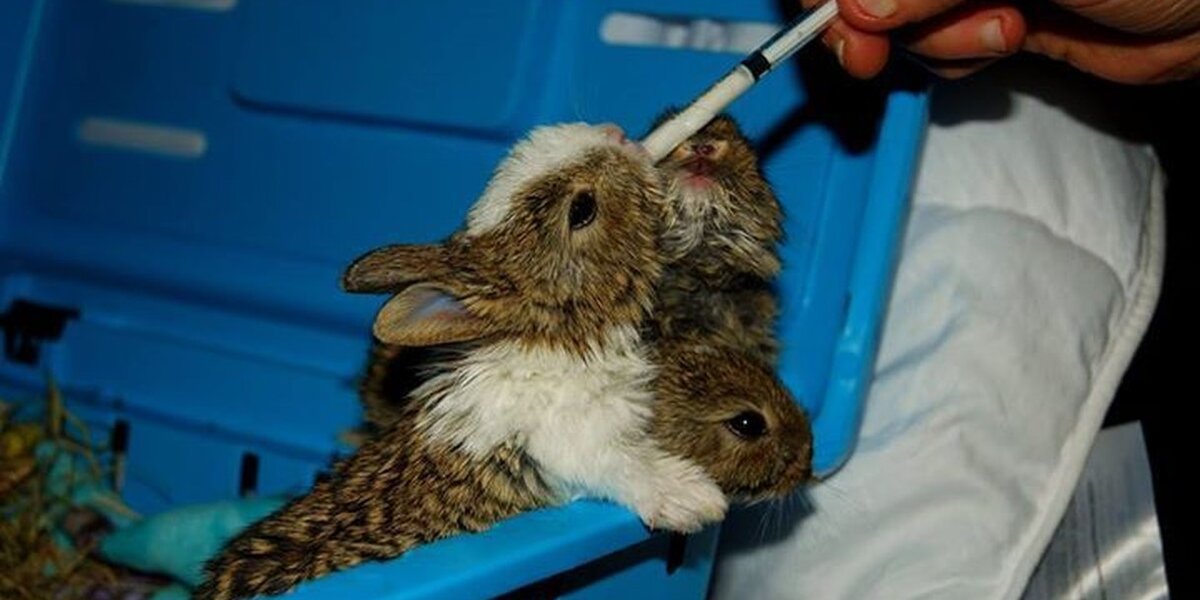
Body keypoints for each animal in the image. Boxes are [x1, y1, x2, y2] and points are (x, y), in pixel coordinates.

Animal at [196, 123, 728, 600]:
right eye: (582, 209)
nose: (617, 133)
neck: (553, 340)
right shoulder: (575, 444)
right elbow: (623, 464)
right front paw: (697, 498)